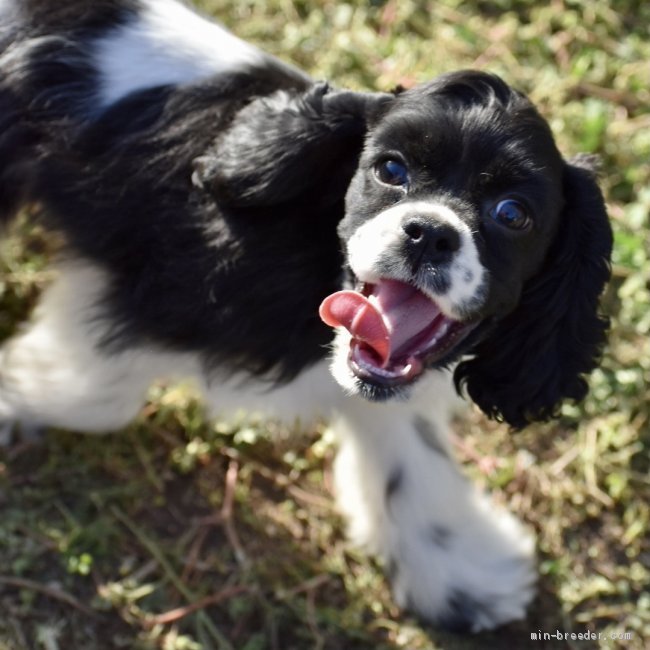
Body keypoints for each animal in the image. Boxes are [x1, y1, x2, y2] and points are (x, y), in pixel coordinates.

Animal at [0, 0, 612, 632]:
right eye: (390, 171)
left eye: (512, 214)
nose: (429, 232)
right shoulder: (140, 297)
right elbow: (99, 391)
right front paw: (17, 398)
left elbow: (411, 459)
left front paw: (462, 571)